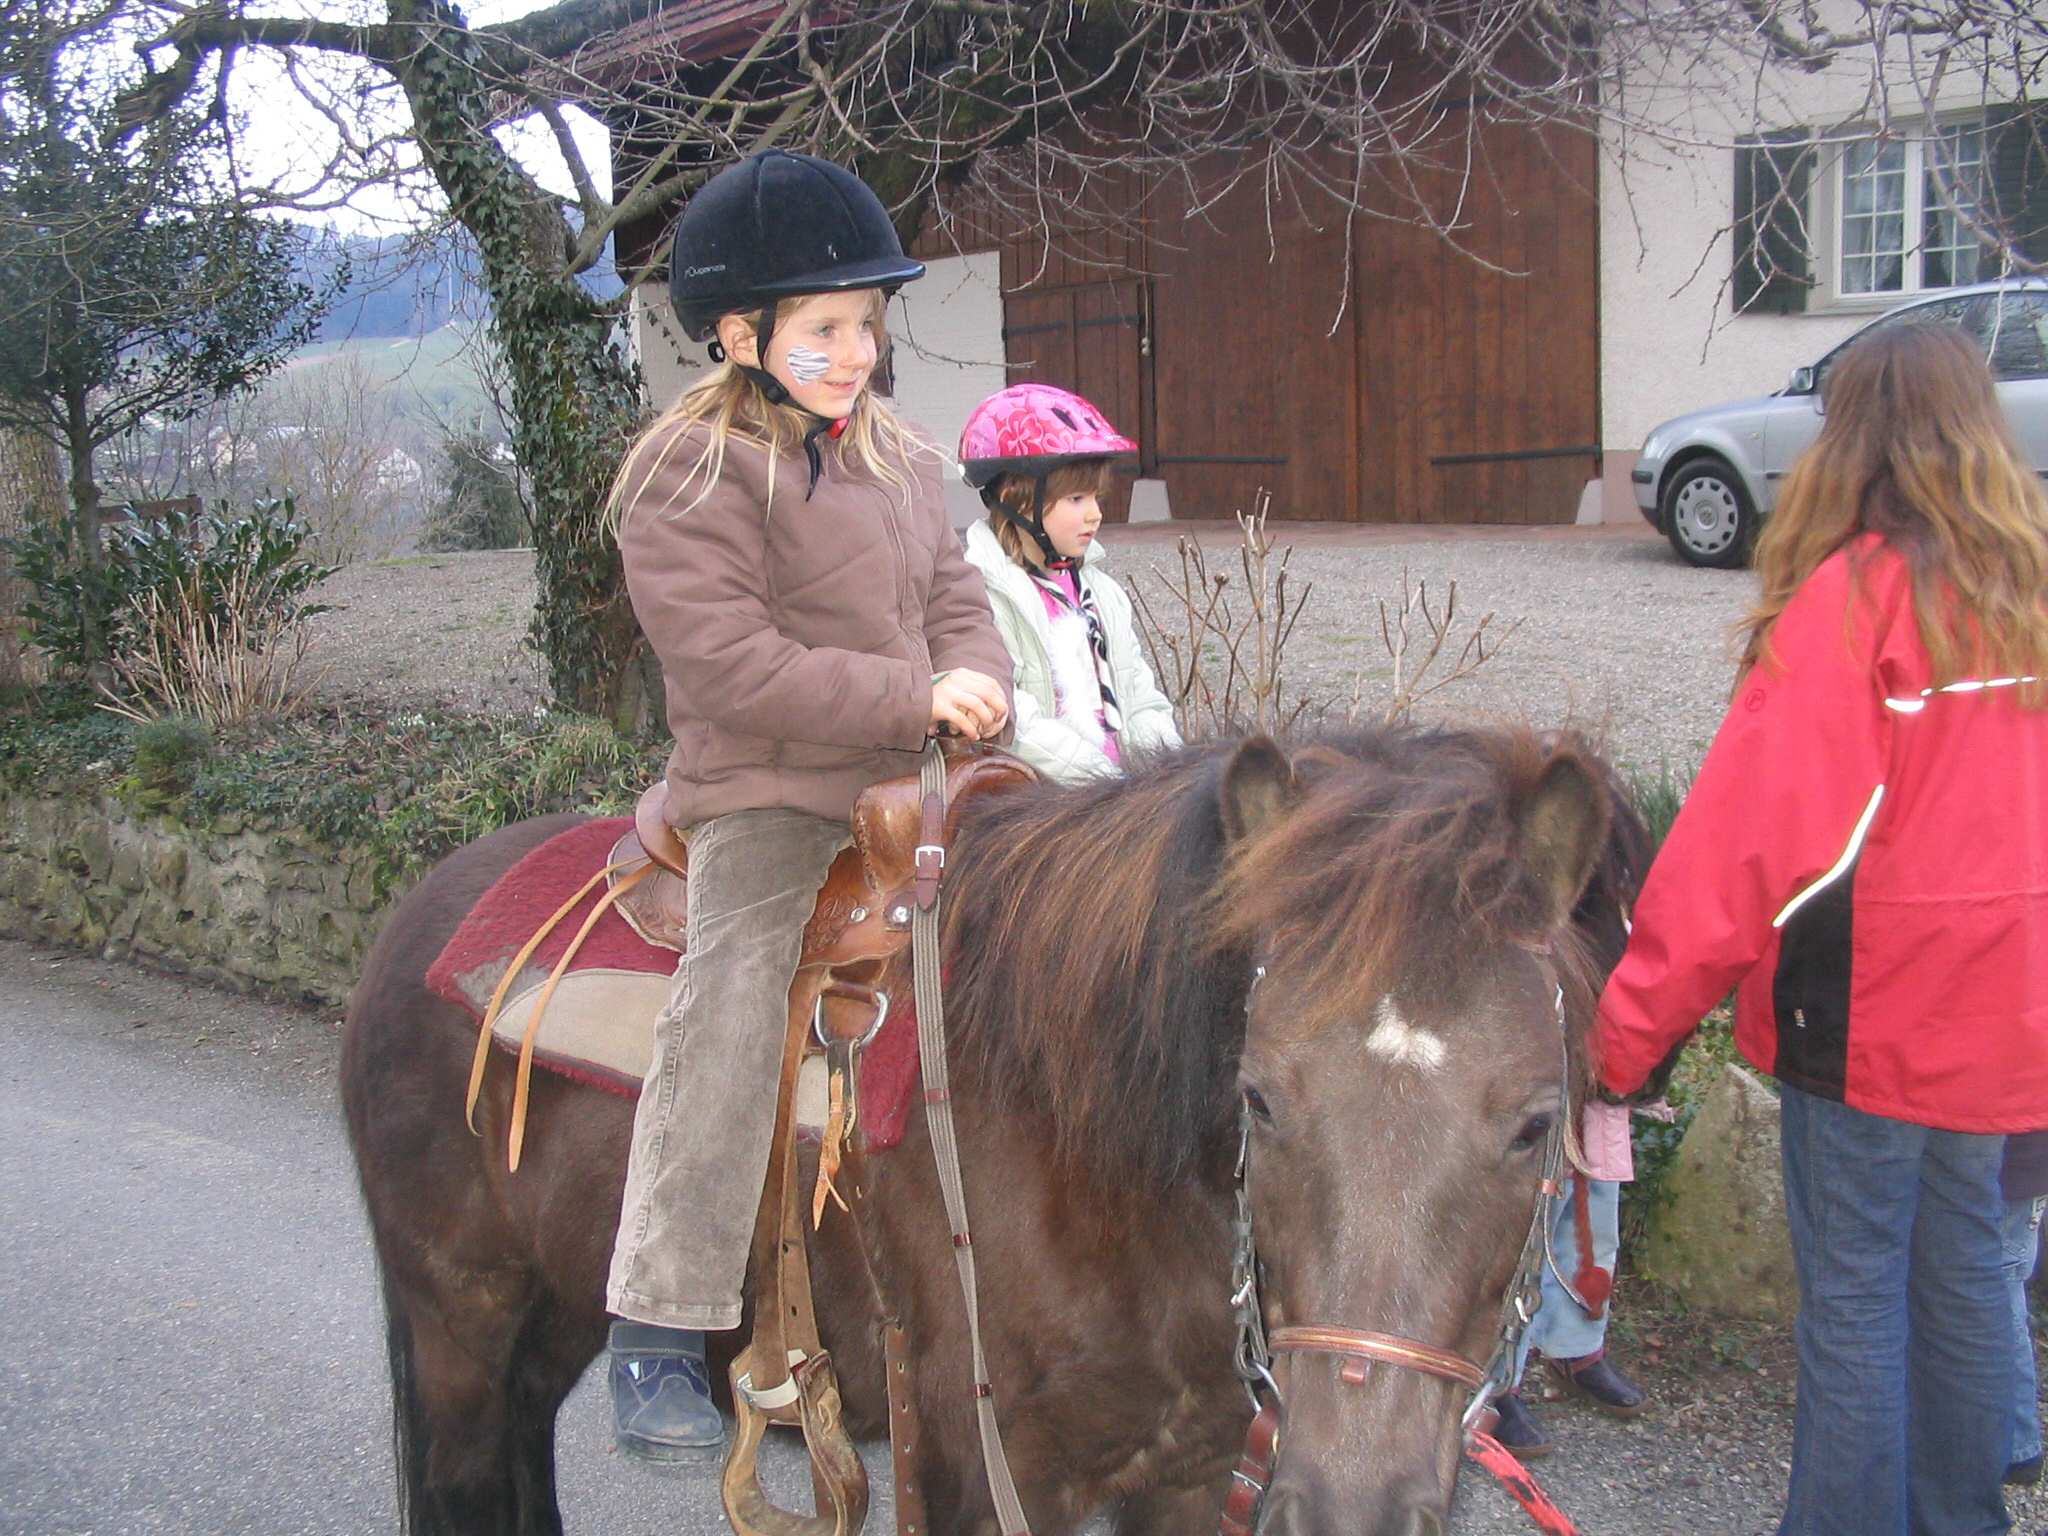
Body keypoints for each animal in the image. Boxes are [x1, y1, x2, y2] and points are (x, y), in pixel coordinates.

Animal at [340, 723, 1648, 1536]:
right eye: (1259, 1097)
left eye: (1534, 1124)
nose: (1348, 1505)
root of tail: (413, 918)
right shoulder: (985, 1477)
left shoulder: (1186, 1476)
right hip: (458, 1321)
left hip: (547, 1312)